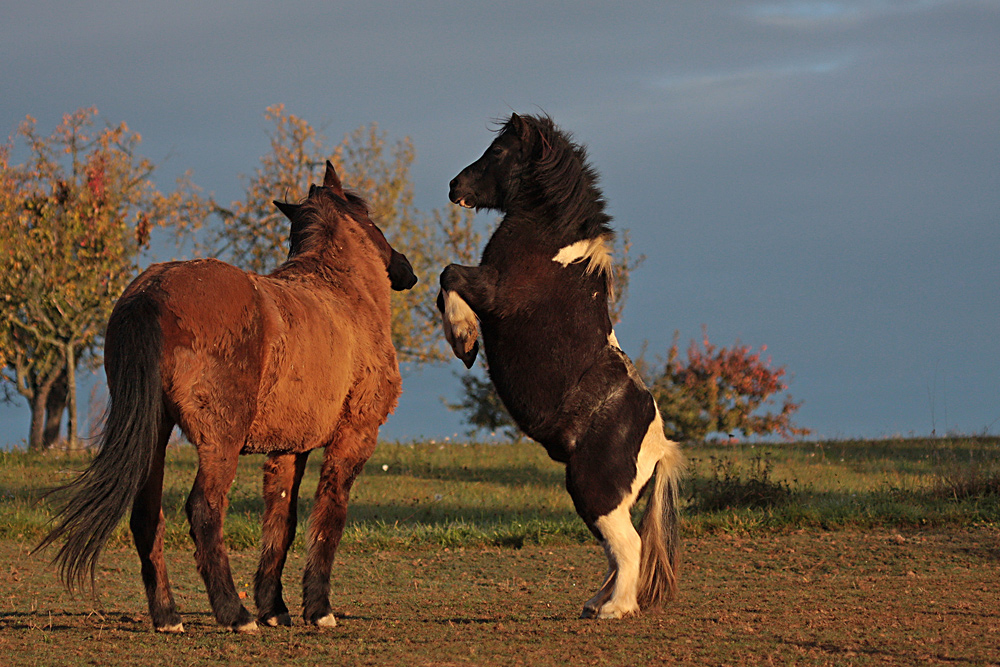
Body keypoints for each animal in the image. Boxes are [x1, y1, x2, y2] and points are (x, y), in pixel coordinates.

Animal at [41, 160, 416, 632]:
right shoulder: (354, 437)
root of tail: (151, 291)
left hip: (156, 434)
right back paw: (234, 614)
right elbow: (329, 515)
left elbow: (281, 523)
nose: (405, 269)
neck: (343, 296)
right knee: (204, 509)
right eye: (368, 217)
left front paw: (275, 607)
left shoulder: (288, 449)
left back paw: (168, 616)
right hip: (220, 442)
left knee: (147, 515)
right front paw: (317, 609)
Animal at [440, 112, 684, 620]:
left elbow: (448, 274)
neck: (553, 249)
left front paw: (464, 339)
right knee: (617, 552)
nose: (455, 186)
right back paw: (596, 603)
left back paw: (616, 609)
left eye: (498, 151)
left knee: (628, 547)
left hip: (594, 491)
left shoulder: (493, 291)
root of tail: (659, 447)